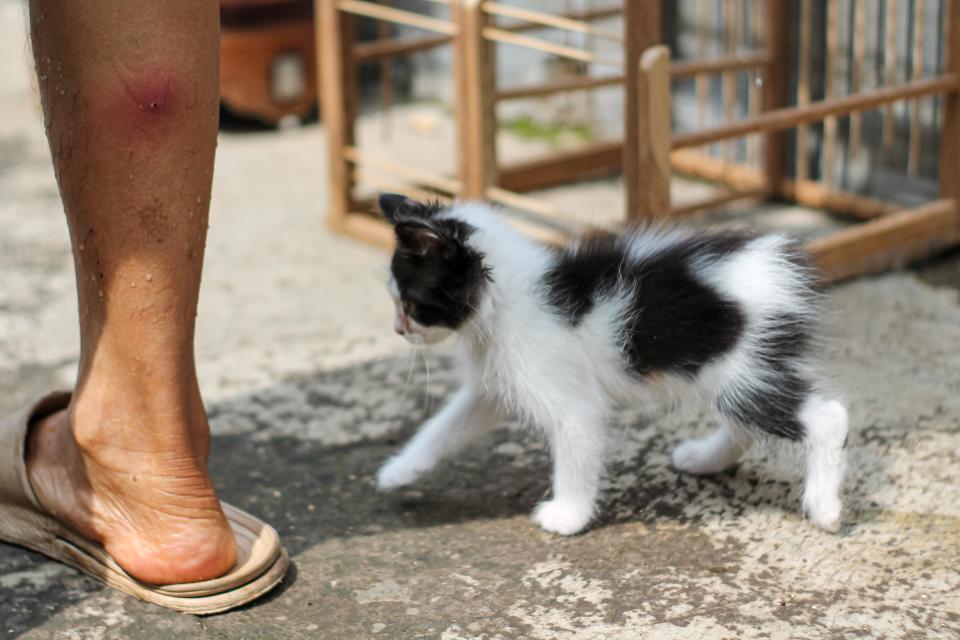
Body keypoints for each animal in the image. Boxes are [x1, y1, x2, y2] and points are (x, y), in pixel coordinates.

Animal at [376, 194, 848, 536]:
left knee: (828, 417)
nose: (398, 330)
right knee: (744, 423)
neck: (505, 301)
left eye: (413, 306)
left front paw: (568, 516)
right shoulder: (494, 384)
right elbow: (443, 427)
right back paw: (704, 458)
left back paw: (825, 507)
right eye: (394, 302)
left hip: (746, 373)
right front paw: (400, 469)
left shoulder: (570, 399)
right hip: (733, 373)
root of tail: (776, 263)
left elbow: (576, 454)